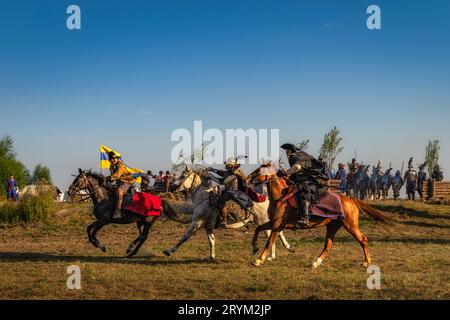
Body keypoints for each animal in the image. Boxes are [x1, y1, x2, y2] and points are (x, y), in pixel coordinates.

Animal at [162, 169, 292, 262]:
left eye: (183, 175)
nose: (172, 187)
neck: (204, 198)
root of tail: (267, 199)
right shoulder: (208, 227)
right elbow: (212, 241)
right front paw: (211, 257)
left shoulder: (196, 224)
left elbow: (184, 237)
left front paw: (169, 251)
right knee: (277, 233)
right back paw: (283, 249)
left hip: (262, 221)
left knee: (272, 235)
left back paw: (270, 255)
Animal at [248, 165, 392, 268]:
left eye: (259, 171)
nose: (247, 179)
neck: (281, 196)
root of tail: (350, 200)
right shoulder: (274, 223)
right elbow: (258, 229)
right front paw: (255, 248)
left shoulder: (278, 225)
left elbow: (269, 242)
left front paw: (259, 260)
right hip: (333, 226)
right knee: (328, 245)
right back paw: (316, 262)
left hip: (350, 225)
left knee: (363, 239)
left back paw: (366, 262)